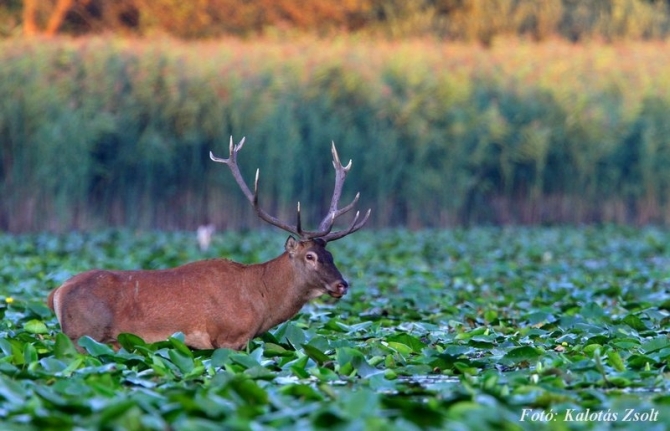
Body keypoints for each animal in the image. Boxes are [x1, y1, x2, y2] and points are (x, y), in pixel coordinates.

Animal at [47, 138, 372, 352]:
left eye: (331, 254)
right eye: (310, 256)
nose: (342, 284)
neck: (261, 302)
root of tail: (56, 293)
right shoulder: (227, 338)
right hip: (84, 337)